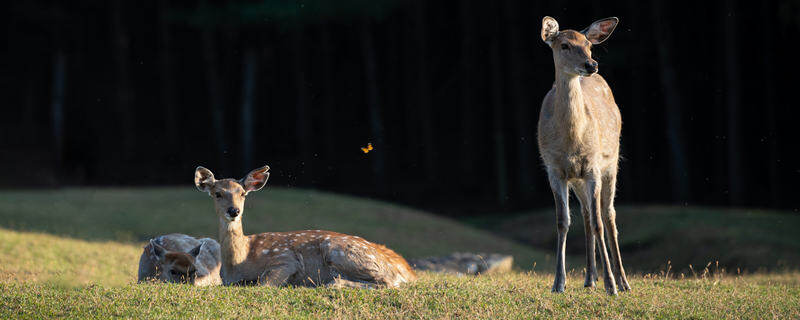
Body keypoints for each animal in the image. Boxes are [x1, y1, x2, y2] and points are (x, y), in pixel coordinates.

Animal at [195, 165, 418, 288]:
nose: (234, 211)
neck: (239, 261)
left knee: (388, 282)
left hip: (339, 250)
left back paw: (331, 284)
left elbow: (263, 283)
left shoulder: (285, 258)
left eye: (242, 193)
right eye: (217, 194)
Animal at [536, 15, 632, 296]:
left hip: (612, 163)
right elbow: (563, 221)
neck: (572, 142)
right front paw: (558, 283)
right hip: (577, 179)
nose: (591, 64)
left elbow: (600, 223)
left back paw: (622, 281)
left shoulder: (593, 167)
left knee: (607, 215)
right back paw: (590, 278)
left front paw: (611, 285)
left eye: (589, 45)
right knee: (588, 215)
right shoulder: (554, 169)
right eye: (565, 45)